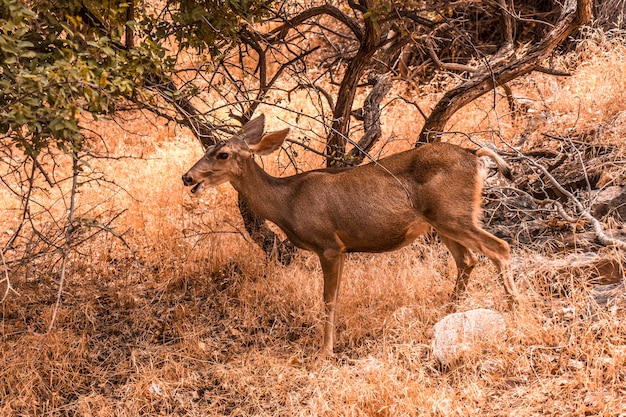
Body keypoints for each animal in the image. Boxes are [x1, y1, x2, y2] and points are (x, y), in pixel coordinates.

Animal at [183, 114, 520, 358]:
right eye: (206, 149)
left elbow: (328, 300)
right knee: (468, 260)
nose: (188, 177)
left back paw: (515, 309)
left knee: (499, 248)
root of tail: (475, 155)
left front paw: (324, 352)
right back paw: (446, 313)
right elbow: (336, 296)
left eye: (223, 154)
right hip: (441, 220)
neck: (287, 202)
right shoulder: (343, 249)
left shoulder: (328, 245)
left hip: (452, 214)